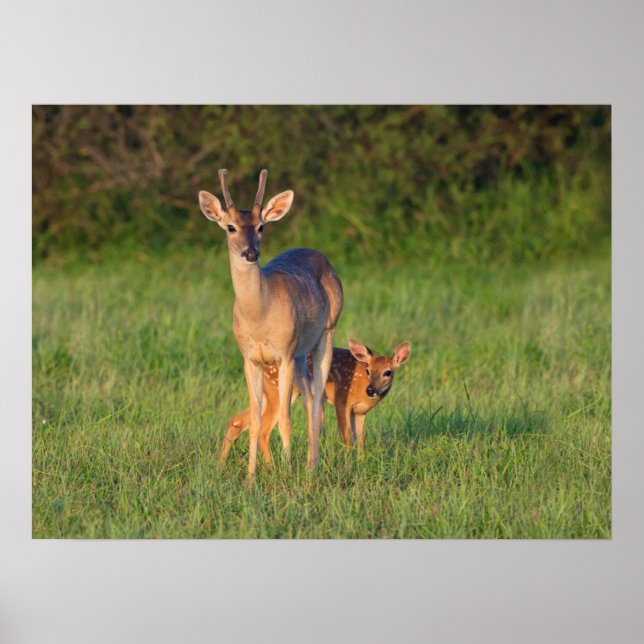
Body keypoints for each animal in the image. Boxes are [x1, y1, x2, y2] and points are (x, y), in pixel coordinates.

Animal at [198, 169, 343, 478]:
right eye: (230, 227)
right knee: (311, 401)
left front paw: (287, 475)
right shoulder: (250, 358)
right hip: (300, 354)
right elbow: (255, 421)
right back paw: (309, 465)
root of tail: (322, 257)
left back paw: (311, 468)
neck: (259, 318)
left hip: (326, 333)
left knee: (316, 405)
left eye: (262, 227)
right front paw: (251, 478)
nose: (251, 253)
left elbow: (286, 422)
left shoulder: (283, 353)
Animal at [220, 338, 411, 459]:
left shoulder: (360, 412)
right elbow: (347, 438)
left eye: (388, 372)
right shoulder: (342, 401)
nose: (371, 390)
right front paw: (349, 464)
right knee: (263, 431)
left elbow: (361, 440)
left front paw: (361, 462)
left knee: (237, 421)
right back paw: (271, 468)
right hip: (278, 390)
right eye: (368, 370)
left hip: (269, 393)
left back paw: (220, 464)